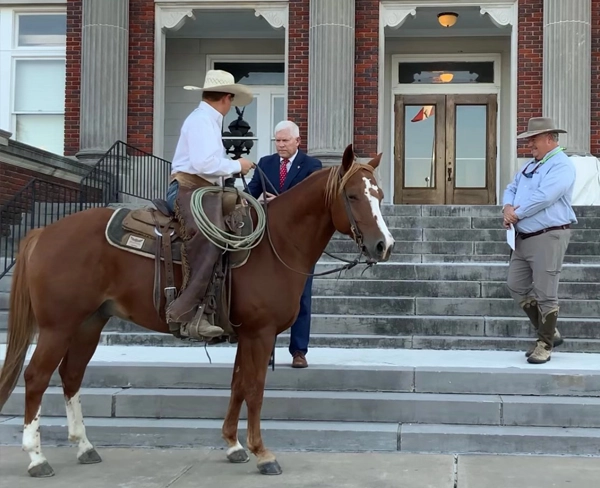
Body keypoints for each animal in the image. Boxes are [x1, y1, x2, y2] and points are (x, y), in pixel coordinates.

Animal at [0, 144, 394, 476]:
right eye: (353, 195)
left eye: (379, 194)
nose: (384, 245)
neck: (277, 243)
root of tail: (42, 233)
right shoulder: (260, 333)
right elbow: (255, 388)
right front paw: (262, 453)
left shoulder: (245, 334)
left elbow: (238, 385)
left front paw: (234, 445)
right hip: (58, 326)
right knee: (36, 377)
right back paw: (37, 458)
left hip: (89, 323)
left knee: (71, 376)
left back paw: (84, 446)